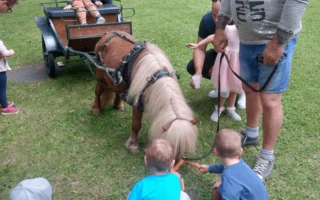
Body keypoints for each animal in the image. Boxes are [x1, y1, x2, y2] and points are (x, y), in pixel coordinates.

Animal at [92, 30, 198, 159]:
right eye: (171, 144)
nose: (175, 163)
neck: (156, 76)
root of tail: (108, 33)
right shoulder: (138, 104)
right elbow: (136, 125)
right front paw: (133, 145)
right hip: (100, 76)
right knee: (98, 92)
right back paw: (96, 108)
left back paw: (118, 105)